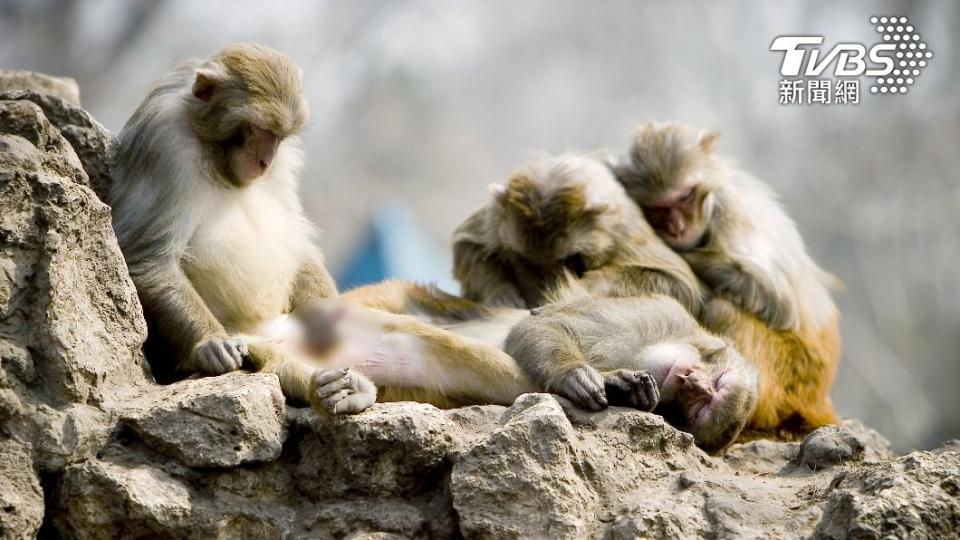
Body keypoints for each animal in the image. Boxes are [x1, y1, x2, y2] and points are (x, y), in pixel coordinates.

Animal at [616, 122, 840, 434]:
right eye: (658, 209)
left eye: (685, 197)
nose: (676, 228)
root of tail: (818, 397)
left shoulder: (731, 214)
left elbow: (780, 304)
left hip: (790, 375)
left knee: (721, 308)